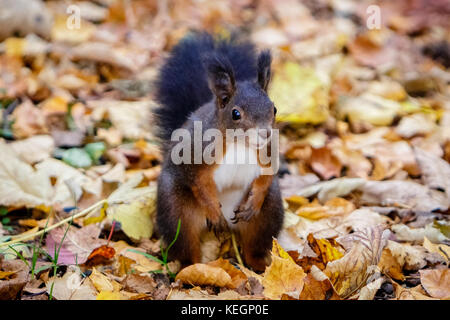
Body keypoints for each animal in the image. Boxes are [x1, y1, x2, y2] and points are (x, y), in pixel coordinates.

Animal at [153, 32, 284, 272]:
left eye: (274, 109)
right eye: (235, 113)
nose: (266, 133)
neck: (240, 144)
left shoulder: (268, 153)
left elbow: (265, 177)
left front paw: (252, 204)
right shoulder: (196, 156)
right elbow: (200, 184)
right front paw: (215, 213)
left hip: (269, 212)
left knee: (256, 244)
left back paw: (259, 267)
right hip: (176, 209)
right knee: (185, 243)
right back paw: (192, 269)